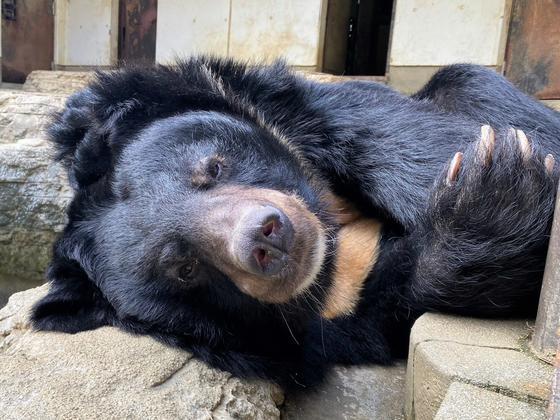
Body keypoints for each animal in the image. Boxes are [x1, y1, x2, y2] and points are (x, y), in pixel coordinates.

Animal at [29, 57, 560, 388]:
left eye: (212, 168)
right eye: (184, 267)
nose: (267, 237)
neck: (334, 241)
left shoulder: (302, 108)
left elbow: (401, 132)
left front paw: (499, 164)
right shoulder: (336, 328)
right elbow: (392, 310)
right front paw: (492, 198)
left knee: (465, 78)